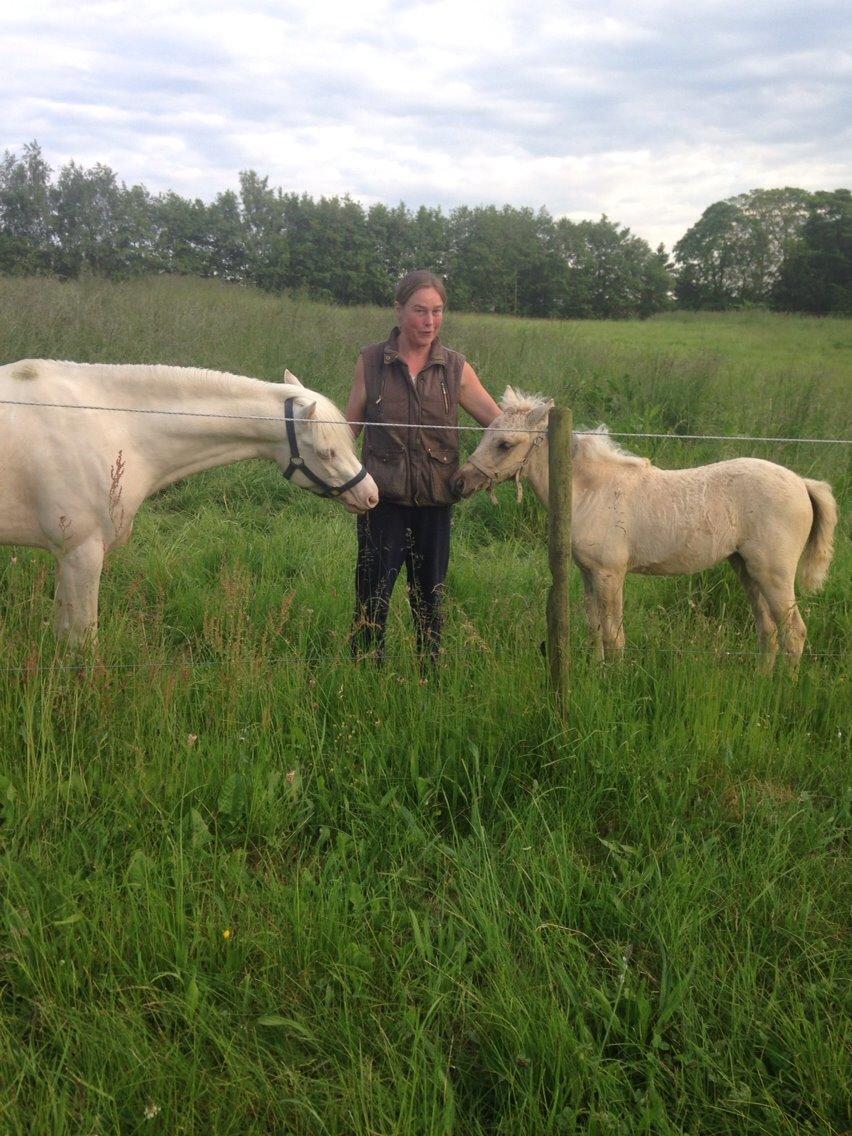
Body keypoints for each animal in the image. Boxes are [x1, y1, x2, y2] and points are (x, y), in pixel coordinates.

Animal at [0, 359, 379, 641]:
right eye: (327, 452)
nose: (371, 494)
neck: (112, 424)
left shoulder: (67, 557)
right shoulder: (81, 553)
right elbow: (80, 640)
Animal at [452, 388, 837, 670]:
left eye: (505, 444)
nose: (460, 482)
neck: (591, 491)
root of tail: (802, 483)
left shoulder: (610, 574)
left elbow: (613, 634)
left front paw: (614, 682)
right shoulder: (588, 573)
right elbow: (594, 628)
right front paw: (596, 675)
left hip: (774, 573)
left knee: (794, 632)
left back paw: (783, 692)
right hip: (746, 569)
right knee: (767, 629)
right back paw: (761, 681)